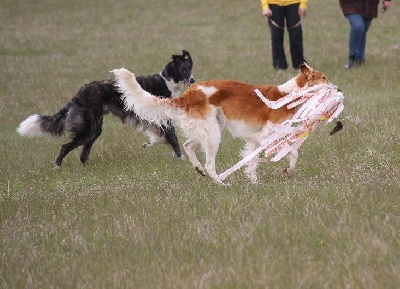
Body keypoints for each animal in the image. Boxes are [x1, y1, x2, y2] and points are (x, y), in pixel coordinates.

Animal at [17, 50, 195, 165]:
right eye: (183, 68)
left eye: (190, 67)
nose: (193, 80)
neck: (167, 81)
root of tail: (79, 93)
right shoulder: (164, 119)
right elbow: (173, 139)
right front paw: (182, 160)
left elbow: (160, 137)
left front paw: (149, 145)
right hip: (92, 128)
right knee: (66, 146)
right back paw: (57, 166)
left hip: (94, 128)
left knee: (83, 152)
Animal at [111, 63, 328, 183]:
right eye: (324, 77)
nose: (335, 87)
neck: (288, 95)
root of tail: (189, 94)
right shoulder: (266, 135)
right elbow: (288, 152)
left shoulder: (257, 139)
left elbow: (287, 153)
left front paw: (257, 179)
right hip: (213, 134)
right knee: (208, 164)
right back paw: (221, 183)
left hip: (208, 129)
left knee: (189, 146)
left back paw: (199, 169)